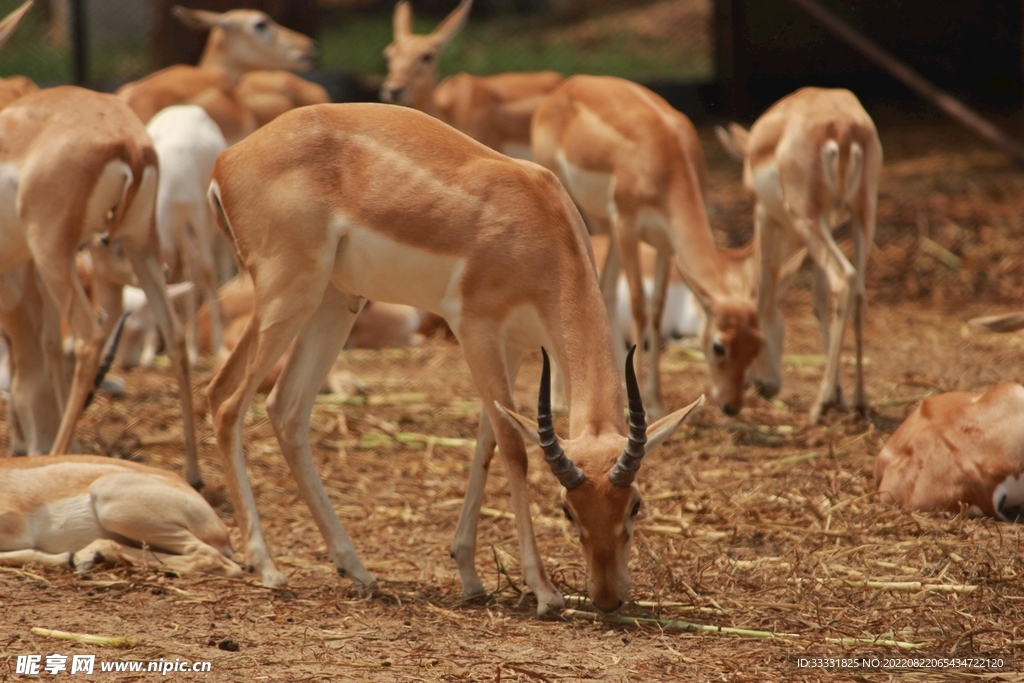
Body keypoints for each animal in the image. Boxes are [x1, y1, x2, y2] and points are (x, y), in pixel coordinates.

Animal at [0, 2, 201, 486]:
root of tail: (131, 144)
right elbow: (46, 345)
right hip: (138, 245)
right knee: (173, 333)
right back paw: (193, 472)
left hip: (53, 250)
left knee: (88, 334)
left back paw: (54, 453)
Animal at [205, 102, 704, 616]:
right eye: (565, 509)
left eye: (636, 504)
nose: (607, 598)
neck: (539, 224)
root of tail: (227, 160)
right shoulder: (475, 330)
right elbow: (512, 446)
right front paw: (544, 591)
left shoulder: (517, 344)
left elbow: (487, 440)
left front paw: (469, 574)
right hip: (288, 297)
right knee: (226, 399)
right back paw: (267, 567)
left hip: (334, 302)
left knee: (286, 409)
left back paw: (357, 569)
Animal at [531, 75, 764, 418]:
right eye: (718, 345)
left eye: (756, 344)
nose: (731, 405)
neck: (667, 158)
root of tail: (567, 86)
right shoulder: (629, 226)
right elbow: (640, 307)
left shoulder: (665, 242)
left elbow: (656, 310)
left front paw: (653, 402)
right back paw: (561, 400)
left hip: (612, 227)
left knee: (606, 289)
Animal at [715, 87, 882, 425]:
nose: (764, 387)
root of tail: (843, 128)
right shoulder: (828, 219)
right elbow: (818, 298)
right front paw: (842, 395)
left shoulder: (764, 216)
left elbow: (764, 291)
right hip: (863, 214)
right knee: (858, 293)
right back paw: (860, 402)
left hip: (808, 218)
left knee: (844, 278)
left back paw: (820, 405)